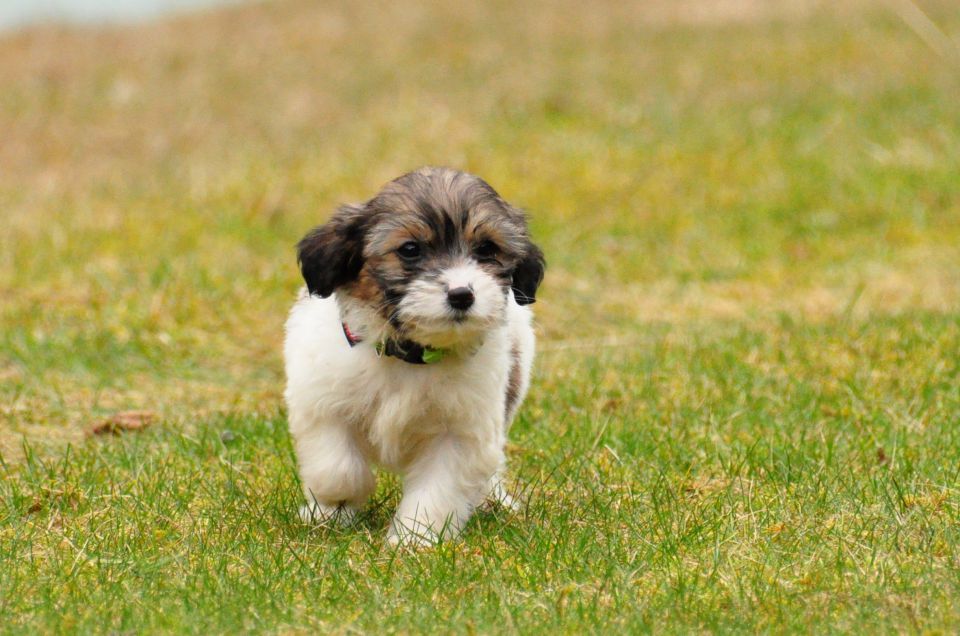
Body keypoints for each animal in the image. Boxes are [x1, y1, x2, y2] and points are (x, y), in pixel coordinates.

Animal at [282, 166, 544, 544]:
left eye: (487, 248)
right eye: (409, 249)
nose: (462, 294)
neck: (410, 354)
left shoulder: (461, 430)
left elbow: (438, 488)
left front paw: (414, 538)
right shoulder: (323, 402)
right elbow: (338, 468)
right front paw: (336, 505)